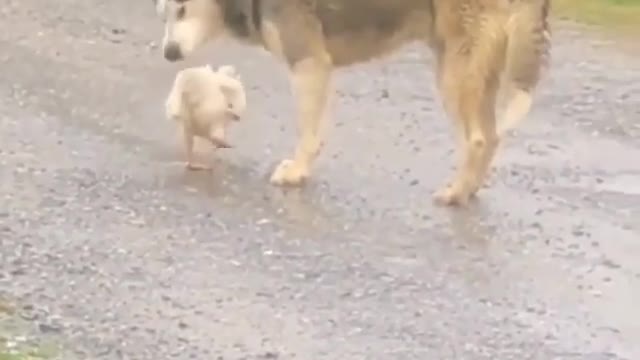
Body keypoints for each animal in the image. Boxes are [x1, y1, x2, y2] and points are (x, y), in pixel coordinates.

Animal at [150, 0, 552, 207]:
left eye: (183, 9)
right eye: (164, 13)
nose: (168, 53)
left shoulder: (309, 63)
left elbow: (308, 134)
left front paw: (296, 173)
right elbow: (317, 132)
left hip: (457, 71)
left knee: (479, 139)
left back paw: (455, 193)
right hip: (471, 67)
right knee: (491, 137)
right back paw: (468, 190)